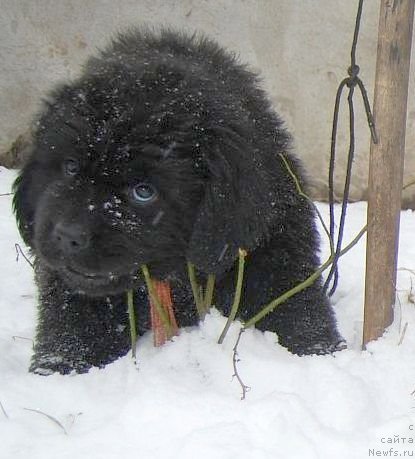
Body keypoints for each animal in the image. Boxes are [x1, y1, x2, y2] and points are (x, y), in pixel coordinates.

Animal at [13, 27, 344, 374]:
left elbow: (296, 316)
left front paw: (315, 354)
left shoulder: (276, 260)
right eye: (70, 167)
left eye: (143, 191)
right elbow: (72, 336)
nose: (67, 235)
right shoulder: (69, 295)